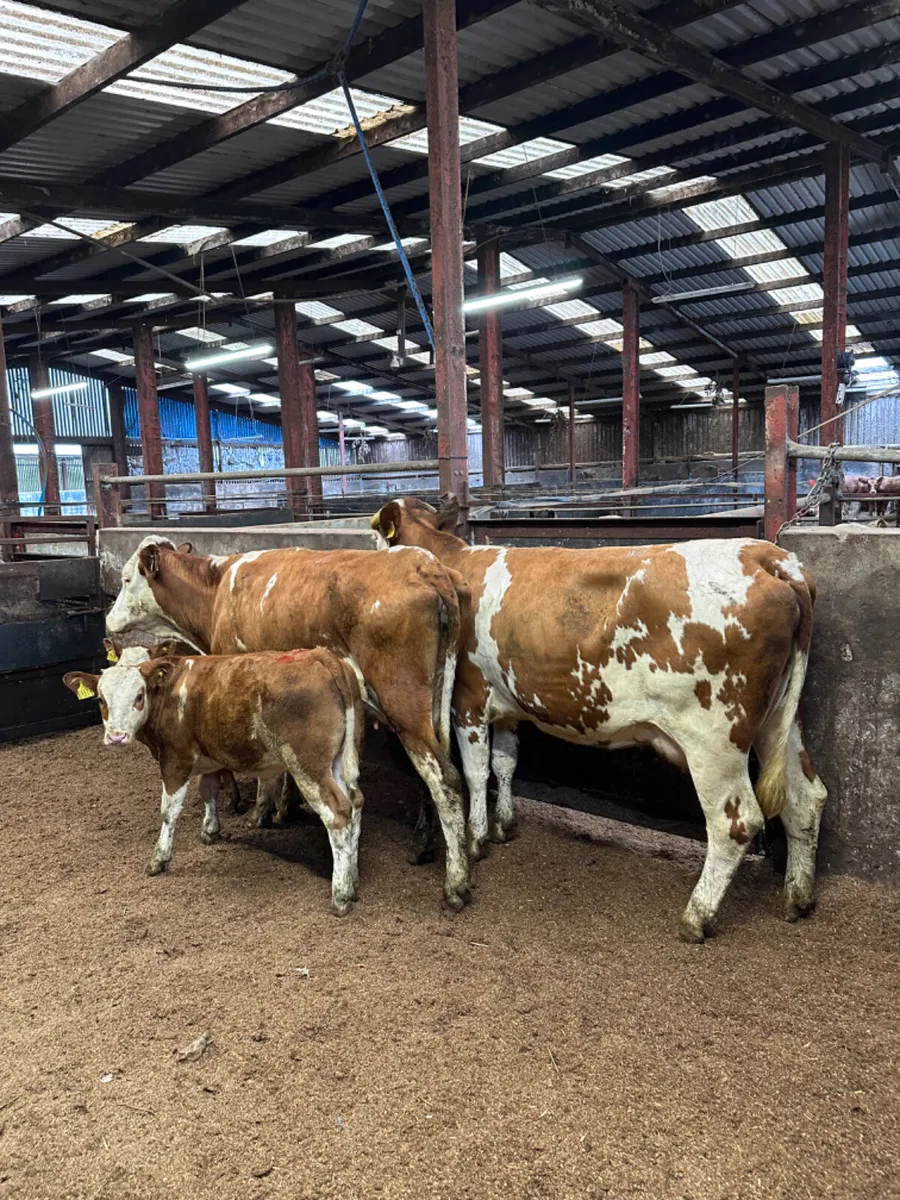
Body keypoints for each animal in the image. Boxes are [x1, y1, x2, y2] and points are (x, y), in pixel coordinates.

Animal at [63, 647, 364, 915]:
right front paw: (210, 830)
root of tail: (320, 655)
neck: (169, 690)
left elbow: (169, 812)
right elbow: (208, 790)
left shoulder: (175, 760)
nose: (116, 737)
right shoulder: (209, 758)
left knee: (338, 815)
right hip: (341, 760)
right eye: (101, 700)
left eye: (139, 696)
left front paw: (159, 859)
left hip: (307, 766)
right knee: (355, 803)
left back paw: (340, 896)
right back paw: (353, 879)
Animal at [104, 537, 471, 910]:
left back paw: (455, 885)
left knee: (444, 780)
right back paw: (422, 845)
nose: (108, 619)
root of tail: (424, 564)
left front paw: (261, 810)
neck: (218, 587)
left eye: (126, 579)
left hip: (404, 706)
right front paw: (284, 806)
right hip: (436, 702)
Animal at [370, 496, 828, 942]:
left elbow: (476, 772)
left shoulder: (469, 698)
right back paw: (797, 898)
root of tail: (769, 556)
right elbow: (505, 762)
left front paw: (477, 837)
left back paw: (696, 917)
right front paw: (503, 826)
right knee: (806, 797)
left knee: (735, 822)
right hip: (779, 722)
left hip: (714, 739)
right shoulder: (508, 705)